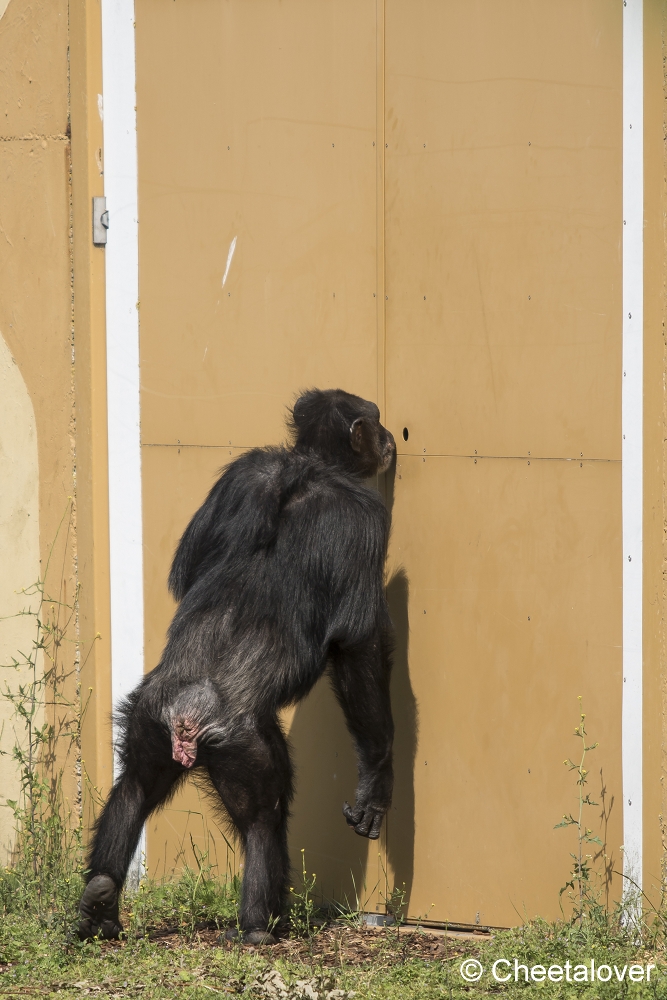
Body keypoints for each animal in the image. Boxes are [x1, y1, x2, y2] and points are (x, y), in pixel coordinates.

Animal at [79, 386, 396, 940]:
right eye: (374, 421)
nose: (390, 437)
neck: (312, 463)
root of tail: (187, 717)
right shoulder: (366, 519)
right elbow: (358, 648)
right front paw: (375, 784)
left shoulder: (242, 468)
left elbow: (184, 571)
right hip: (244, 745)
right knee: (263, 817)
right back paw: (257, 927)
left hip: (147, 717)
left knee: (134, 787)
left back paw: (100, 904)